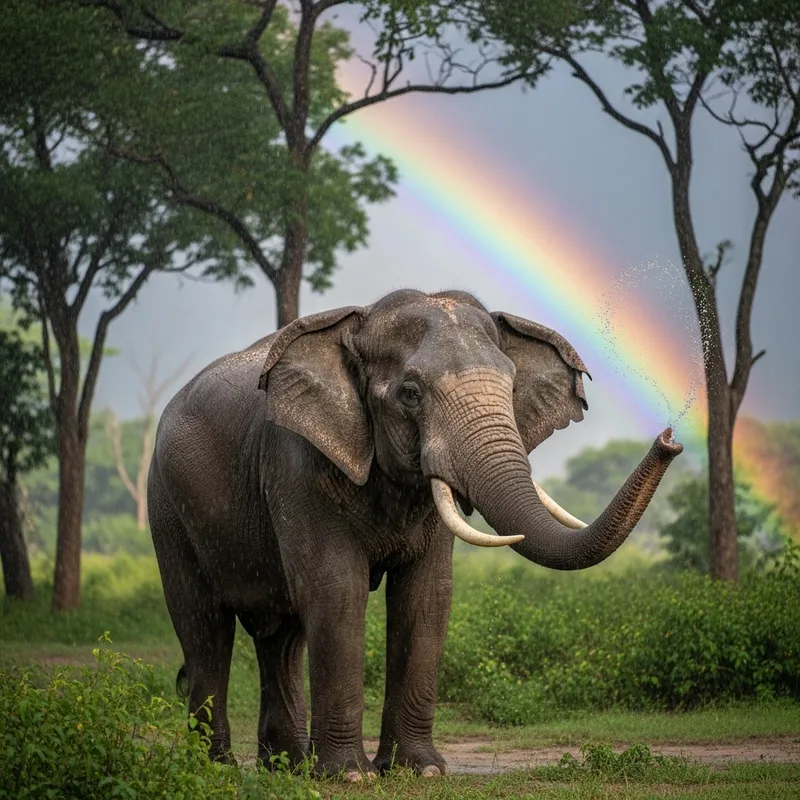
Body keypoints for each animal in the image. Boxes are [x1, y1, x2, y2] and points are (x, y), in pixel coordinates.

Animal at [147, 288, 682, 779]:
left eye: (511, 388)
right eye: (411, 394)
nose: (670, 438)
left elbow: (427, 596)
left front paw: (419, 771)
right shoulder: (295, 463)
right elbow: (336, 588)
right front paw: (352, 777)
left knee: (280, 636)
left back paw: (287, 768)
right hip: (166, 506)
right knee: (205, 627)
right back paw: (216, 770)